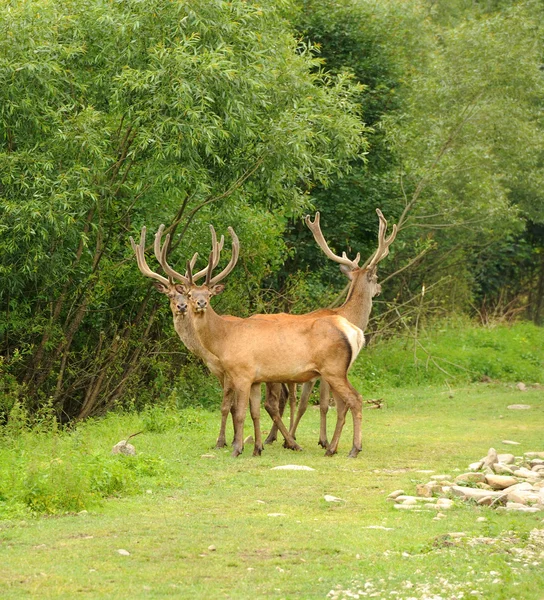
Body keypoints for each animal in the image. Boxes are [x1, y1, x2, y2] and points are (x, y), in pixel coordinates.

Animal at [164, 227, 366, 458]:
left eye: (208, 293)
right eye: (189, 294)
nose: (200, 303)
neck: (225, 339)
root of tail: (355, 331)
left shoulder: (242, 373)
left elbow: (240, 413)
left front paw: (237, 449)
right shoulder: (255, 378)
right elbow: (254, 412)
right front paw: (256, 448)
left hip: (333, 368)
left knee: (355, 399)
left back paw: (354, 448)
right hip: (337, 371)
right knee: (343, 404)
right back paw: (331, 448)